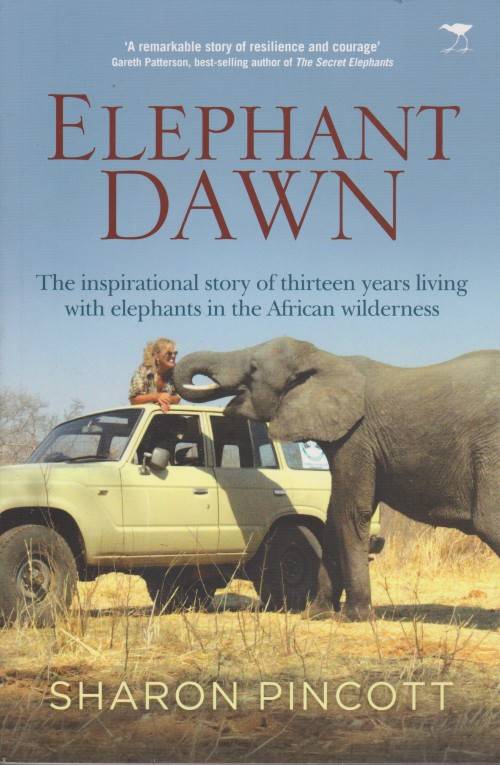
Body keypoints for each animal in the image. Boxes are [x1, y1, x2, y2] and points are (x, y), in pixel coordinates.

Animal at [174, 337, 500, 620]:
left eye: (253, 369)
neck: (326, 359)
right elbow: (331, 517)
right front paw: (315, 614)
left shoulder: (356, 437)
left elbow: (349, 511)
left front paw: (353, 617)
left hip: (489, 450)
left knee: (489, 521)